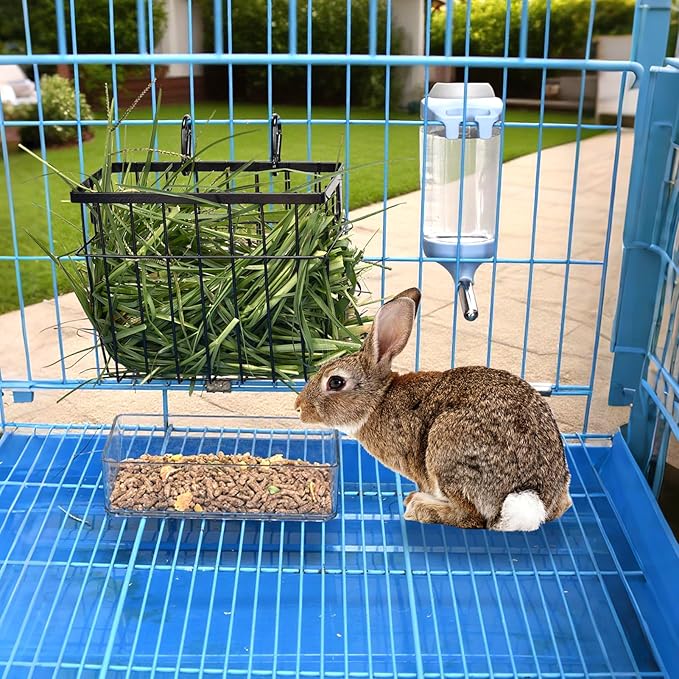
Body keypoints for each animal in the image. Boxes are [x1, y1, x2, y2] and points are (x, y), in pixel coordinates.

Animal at [295, 287, 572, 531]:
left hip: (446, 448)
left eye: (335, 382)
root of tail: (530, 495)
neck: (379, 400)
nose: (299, 407)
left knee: (471, 517)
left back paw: (419, 506)